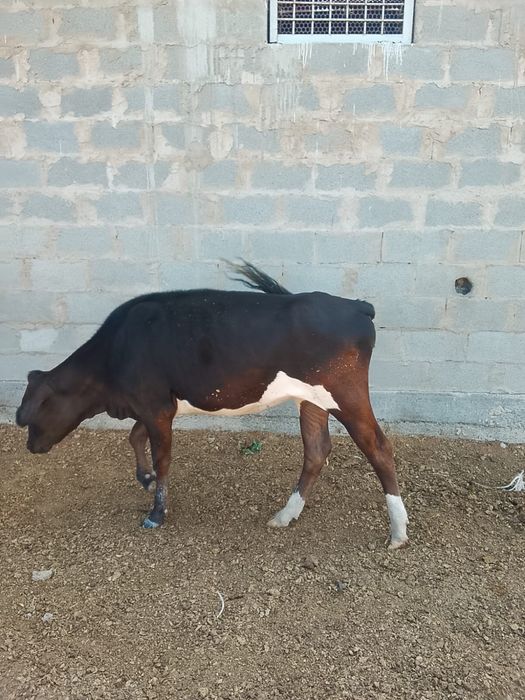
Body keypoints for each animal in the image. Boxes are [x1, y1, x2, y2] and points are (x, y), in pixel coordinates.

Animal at [16, 262, 408, 549]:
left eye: (34, 411)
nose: (31, 446)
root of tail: (355, 305)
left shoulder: (155, 405)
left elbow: (162, 457)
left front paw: (156, 513)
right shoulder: (155, 404)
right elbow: (135, 437)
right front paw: (145, 478)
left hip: (345, 392)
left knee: (378, 446)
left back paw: (398, 532)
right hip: (311, 399)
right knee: (316, 450)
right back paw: (285, 515)